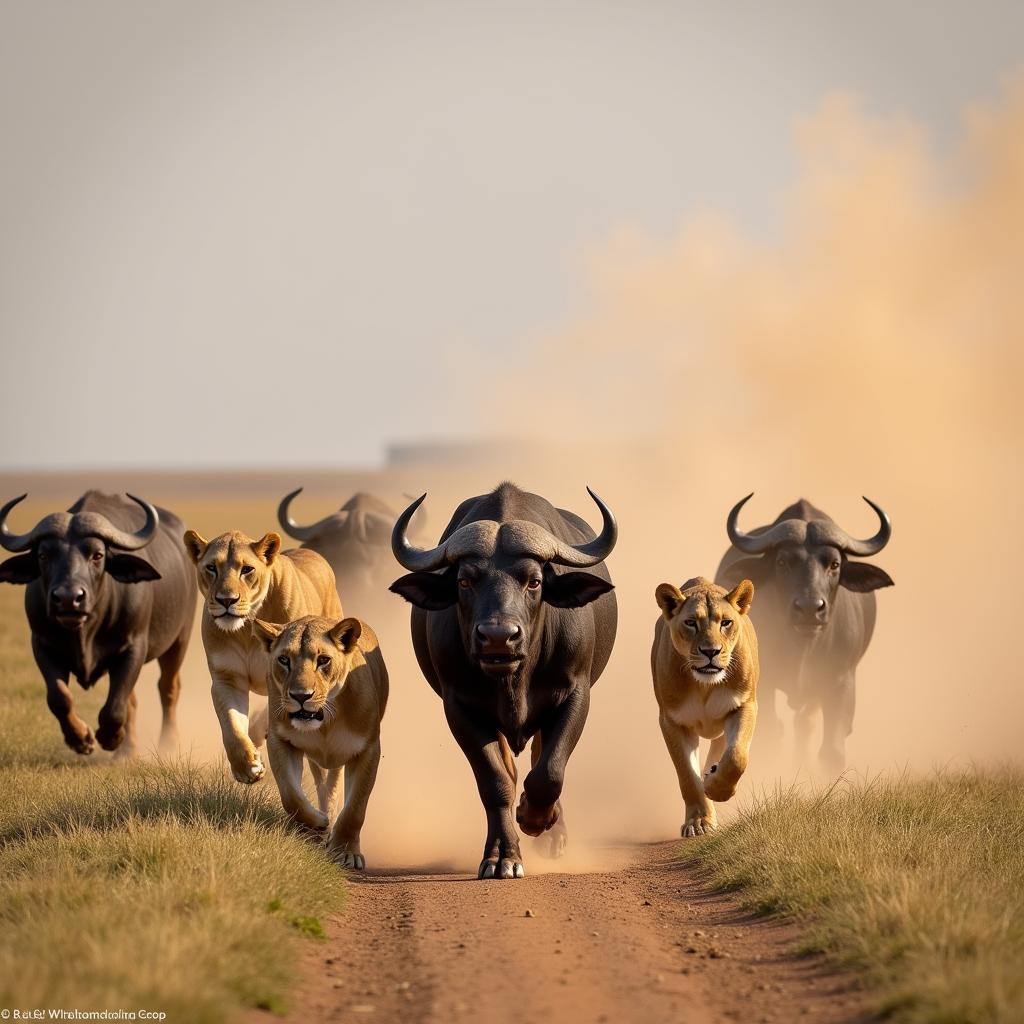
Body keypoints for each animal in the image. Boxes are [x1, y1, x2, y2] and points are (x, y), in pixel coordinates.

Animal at [0, 491, 195, 757]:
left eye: (97, 555)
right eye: (43, 555)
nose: (69, 598)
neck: (85, 633)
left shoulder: (134, 647)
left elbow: (115, 706)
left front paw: (110, 738)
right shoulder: (42, 645)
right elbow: (59, 697)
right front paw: (81, 739)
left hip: (179, 640)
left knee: (168, 688)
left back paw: (167, 743)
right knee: (133, 699)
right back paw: (127, 750)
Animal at [389, 483, 614, 876]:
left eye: (534, 581)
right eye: (464, 580)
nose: (497, 637)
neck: (514, 680)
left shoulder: (577, 693)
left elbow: (549, 771)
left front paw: (535, 818)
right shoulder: (459, 707)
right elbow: (496, 782)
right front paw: (502, 857)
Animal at [716, 491, 892, 770]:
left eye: (834, 564)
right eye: (782, 562)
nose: (810, 608)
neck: (802, 648)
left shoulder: (841, 681)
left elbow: (832, 751)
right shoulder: (762, 683)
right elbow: (770, 735)